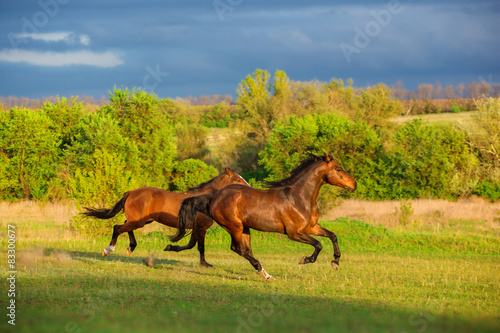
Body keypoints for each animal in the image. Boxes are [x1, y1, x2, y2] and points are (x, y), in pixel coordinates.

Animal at [81, 167, 250, 266]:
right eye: (237, 179)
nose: (248, 189)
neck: (203, 199)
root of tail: (131, 193)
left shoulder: (196, 227)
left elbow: (191, 245)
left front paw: (170, 247)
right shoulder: (201, 227)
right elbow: (200, 246)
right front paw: (205, 264)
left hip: (141, 221)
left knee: (125, 226)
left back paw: (131, 247)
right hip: (138, 221)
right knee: (118, 227)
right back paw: (108, 250)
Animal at [170, 153, 358, 280]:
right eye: (338, 168)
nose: (354, 184)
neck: (298, 197)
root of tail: (213, 197)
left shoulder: (311, 227)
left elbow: (332, 236)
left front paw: (335, 263)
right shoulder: (294, 233)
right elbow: (318, 244)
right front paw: (305, 260)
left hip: (245, 228)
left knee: (245, 250)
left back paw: (264, 273)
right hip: (234, 227)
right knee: (237, 249)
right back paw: (264, 272)